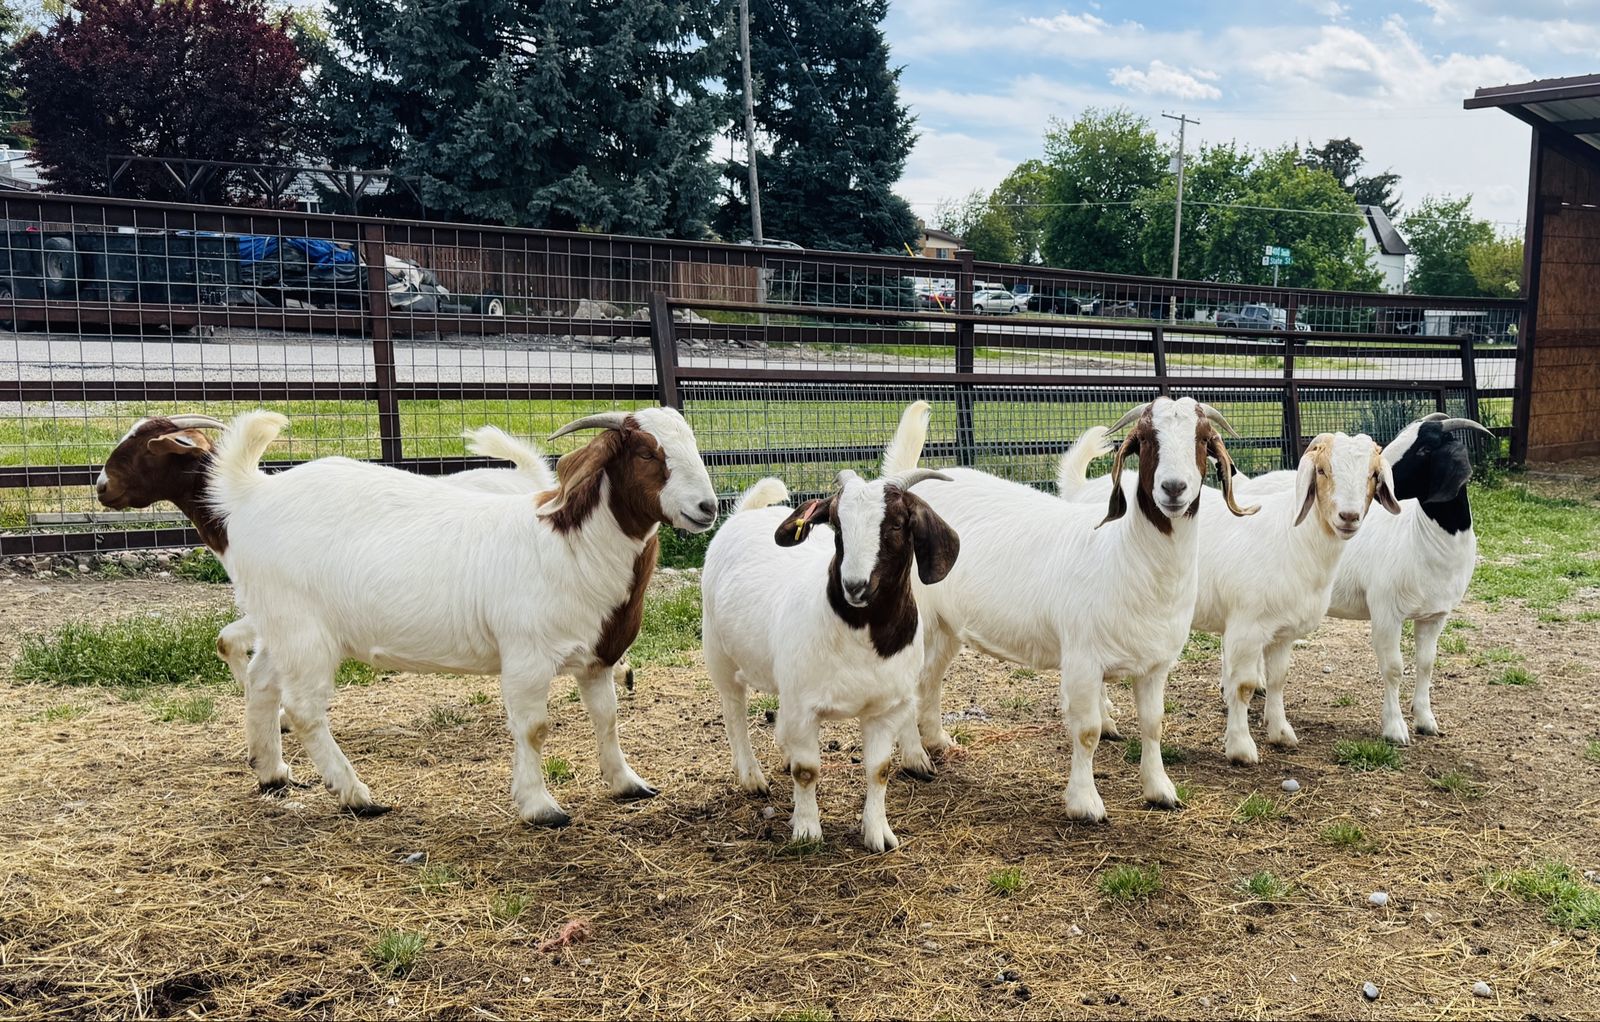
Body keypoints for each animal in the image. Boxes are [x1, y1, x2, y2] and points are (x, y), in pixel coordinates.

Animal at [207, 407, 717, 823]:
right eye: (648, 453)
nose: (708, 507)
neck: (572, 546)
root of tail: (252, 494)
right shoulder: (526, 657)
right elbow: (534, 729)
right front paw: (540, 806)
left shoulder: (597, 658)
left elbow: (607, 717)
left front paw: (627, 783)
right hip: (303, 630)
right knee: (304, 709)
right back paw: (356, 794)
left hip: (279, 625)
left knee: (261, 682)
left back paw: (272, 773)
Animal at [701, 465, 959, 850]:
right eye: (836, 524)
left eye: (898, 524)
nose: (855, 586)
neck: (860, 633)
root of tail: (746, 513)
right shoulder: (805, 707)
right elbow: (807, 772)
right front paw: (808, 831)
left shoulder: (885, 709)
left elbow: (879, 771)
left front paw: (878, 833)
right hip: (719, 653)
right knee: (734, 713)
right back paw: (751, 777)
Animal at [889, 397, 1254, 821]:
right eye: (1146, 440)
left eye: (1202, 440)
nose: (1173, 488)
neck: (1125, 554)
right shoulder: (1082, 659)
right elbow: (1087, 731)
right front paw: (1085, 803)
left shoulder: (1155, 665)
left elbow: (1153, 724)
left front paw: (1160, 790)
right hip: (917, 619)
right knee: (910, 685)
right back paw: (915, 759)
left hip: (947, 625)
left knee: (928, 680)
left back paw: (936, 742)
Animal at [1235, 414, 1491, 742]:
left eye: (1424, 449)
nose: (1377, 489)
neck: (1422, 537)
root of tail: (1247, 483)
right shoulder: (1386, 610)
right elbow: (1394, 668)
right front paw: (1395, 728)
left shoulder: (1435, 616)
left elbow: (1426, 664)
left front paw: (1425, 720)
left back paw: (1259, 684)